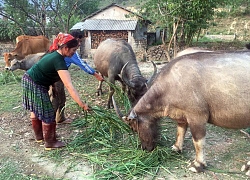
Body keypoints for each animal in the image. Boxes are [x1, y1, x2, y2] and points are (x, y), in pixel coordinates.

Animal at [113, 49, 250, 176]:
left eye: (134, 127)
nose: (145, 148)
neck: (172, 83)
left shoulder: (197, 117)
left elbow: (198, 141)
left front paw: (198, 165)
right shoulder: (181, 115)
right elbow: (180, 131)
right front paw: (176, 148)